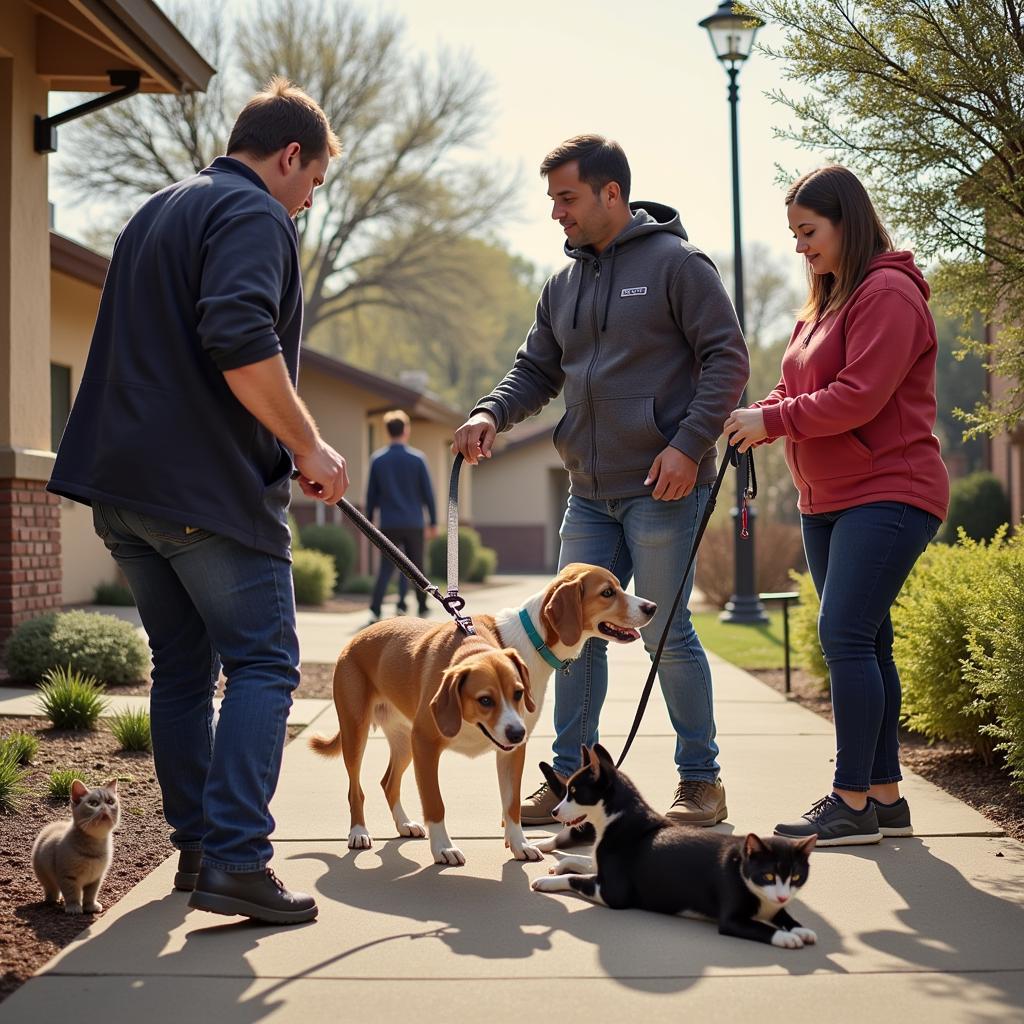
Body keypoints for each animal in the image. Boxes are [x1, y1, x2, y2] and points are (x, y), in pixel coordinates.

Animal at [31, 778, 119, 917]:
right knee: (52, 890)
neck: (94, 846)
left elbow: (90, 895)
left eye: (110, 802)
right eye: (93, 803)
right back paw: (53, 900)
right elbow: (72, 894)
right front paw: (74, 907)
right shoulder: (68, 877)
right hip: (44, 876)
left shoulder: (96, 878)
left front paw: (90, 906)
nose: (105, 807)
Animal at [307, 565, 655, 868]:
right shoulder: (427, 745)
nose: (652, 606)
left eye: (517, 693)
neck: (531, 639)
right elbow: (435, 802)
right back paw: (359, 833)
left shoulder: (513, 746)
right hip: (358, 733)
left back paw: (404, 824)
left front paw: (519, 844)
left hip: (405, 741)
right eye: (608, 592)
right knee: (356, 788)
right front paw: (443, 848)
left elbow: (511, 804)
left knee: (388, 782)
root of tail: (357, 638)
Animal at [528, 745, 815, 950]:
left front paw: (546, 881)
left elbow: (575, 878)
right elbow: (580, 861)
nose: (554, 812)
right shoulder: (599, 866)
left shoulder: (613, 893)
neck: (618, 816)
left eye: (574, 793)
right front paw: (558, 864)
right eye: (566, 791)